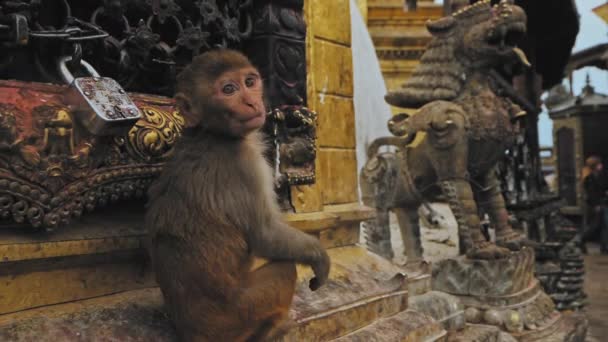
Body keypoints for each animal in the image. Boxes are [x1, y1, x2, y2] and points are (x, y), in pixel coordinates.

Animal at [144, 48, 330, 342]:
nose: (252, 103)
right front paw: (320, 258)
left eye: (250, 82)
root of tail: (191, 333)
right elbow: (266, 235)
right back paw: (273, 328)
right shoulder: (246, 165)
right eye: (228, 89)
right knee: (284, 268)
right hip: (240, 314)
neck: (211, 133)